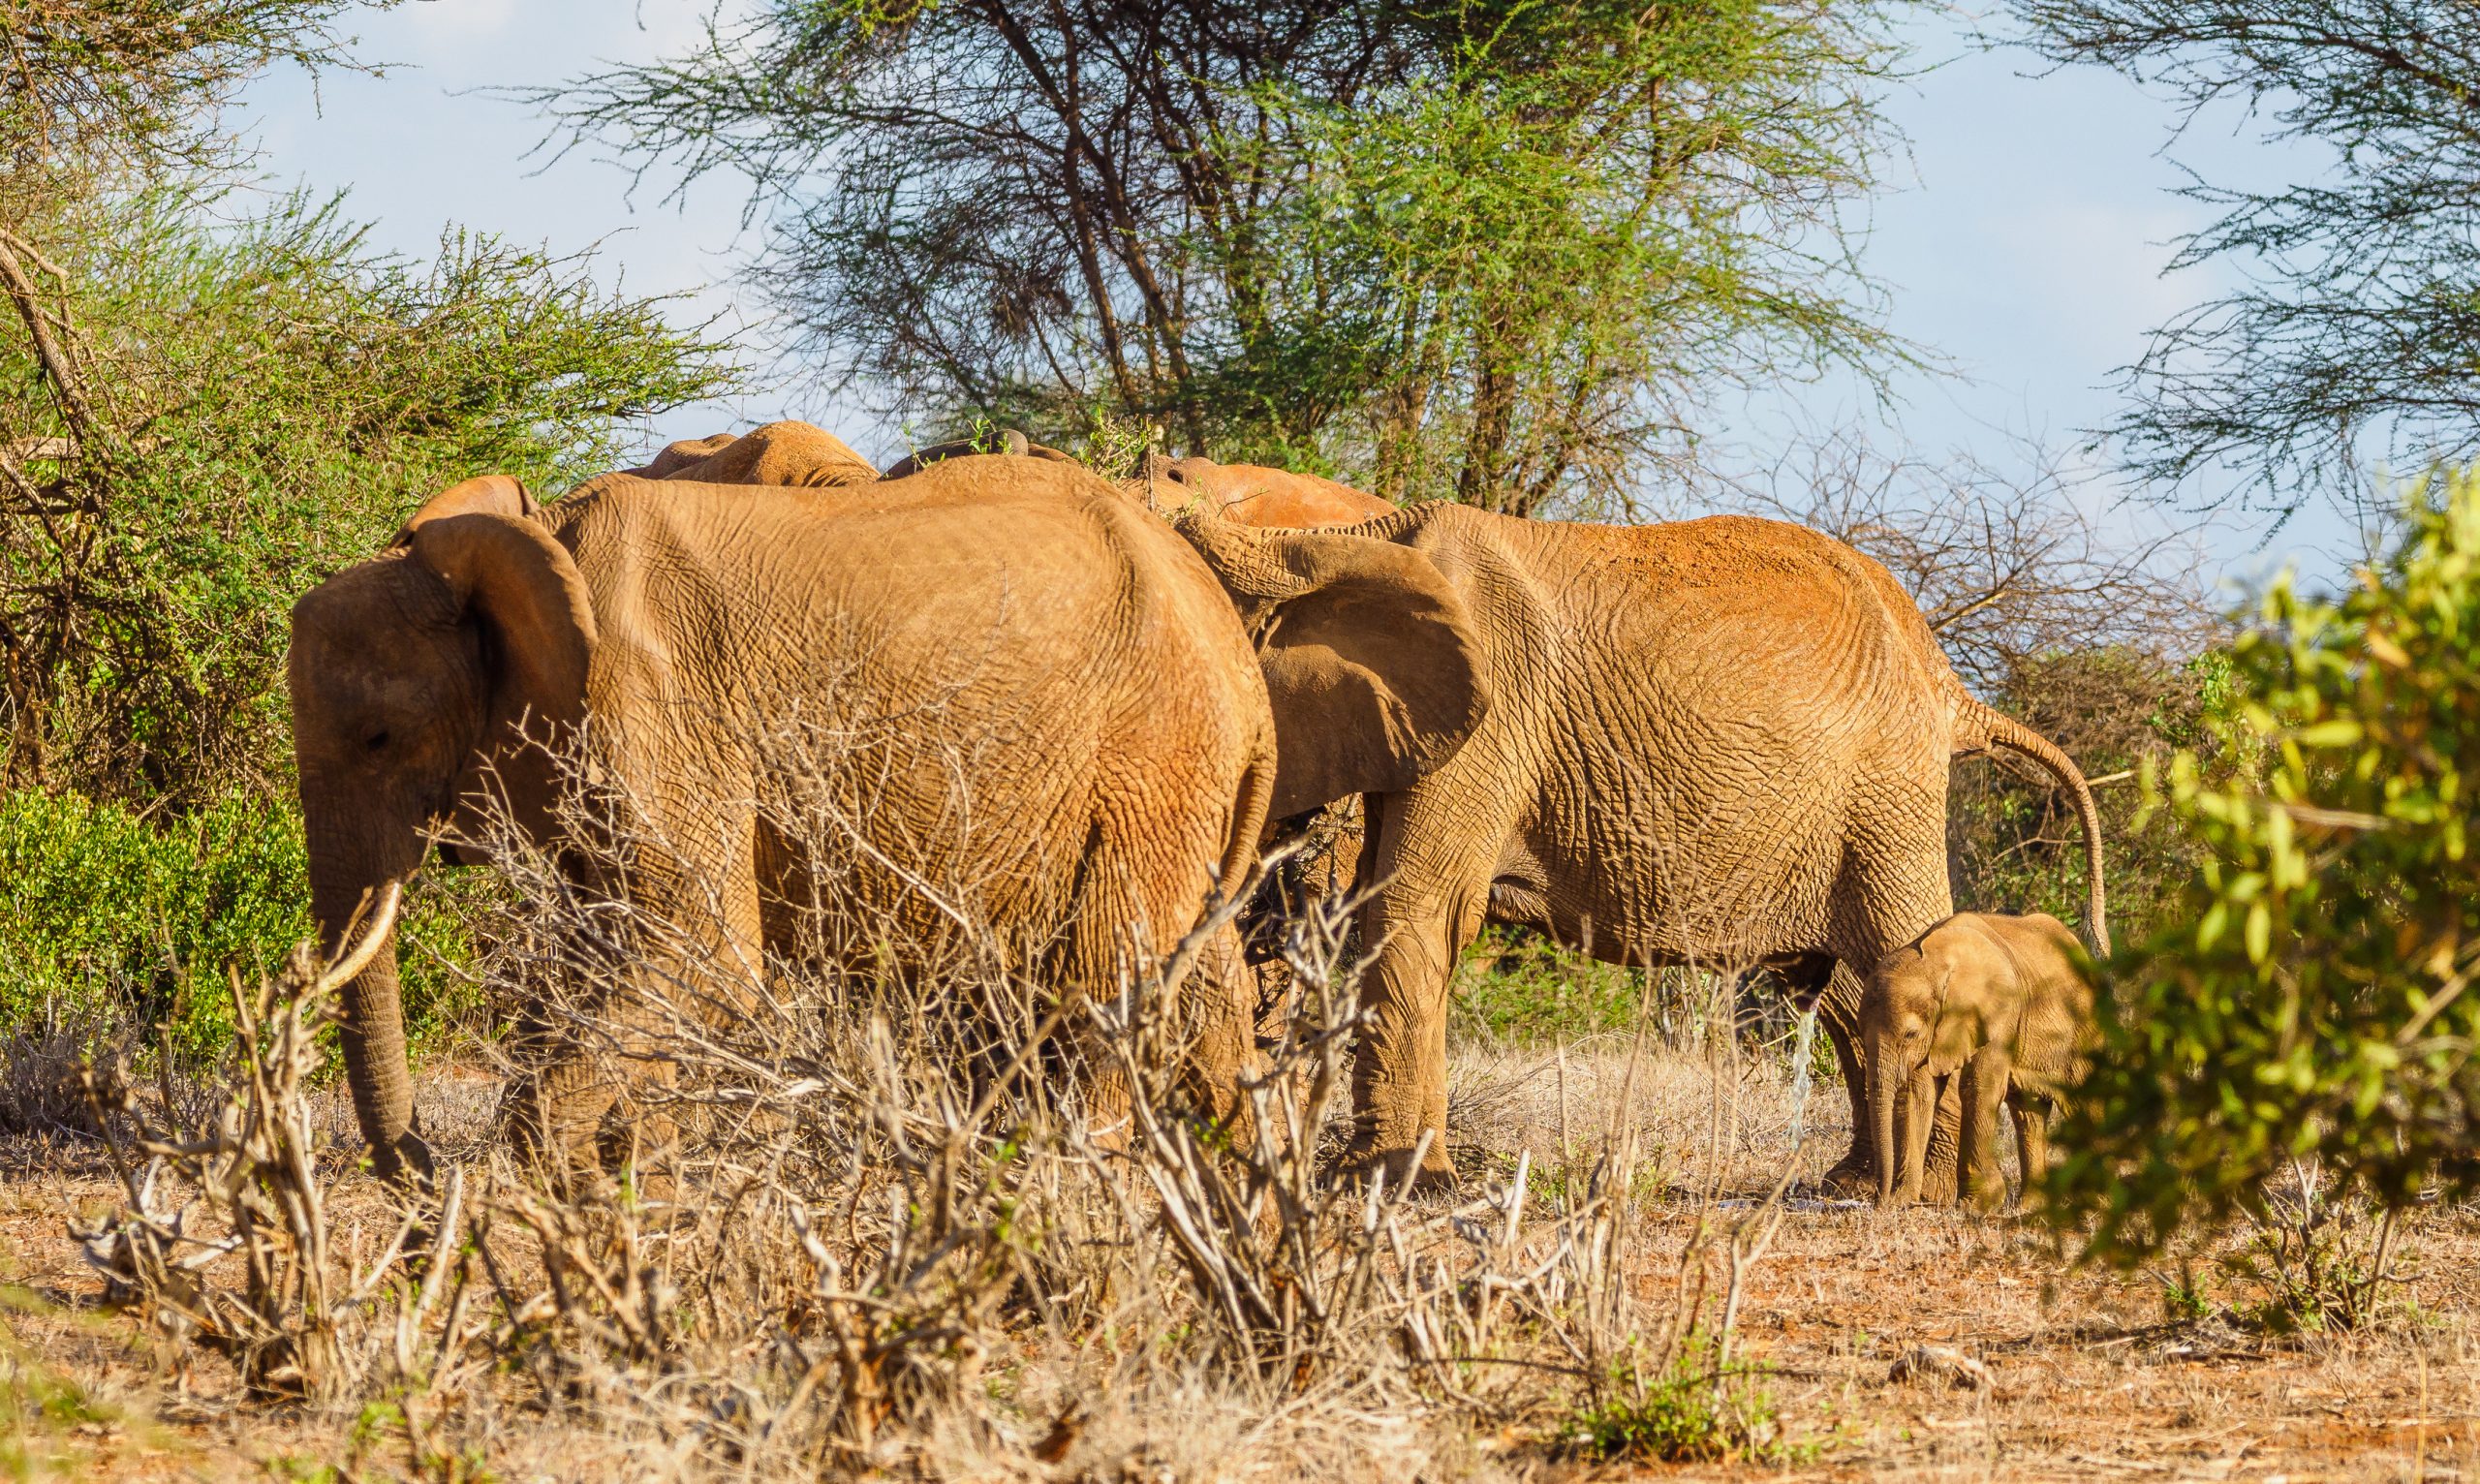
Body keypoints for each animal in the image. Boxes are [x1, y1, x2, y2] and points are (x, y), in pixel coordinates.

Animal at [290, 453, 1488, 1186]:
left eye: (381, 737)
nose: (416, 1166)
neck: (532, 543)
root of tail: (1237, 661)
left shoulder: (656, 703)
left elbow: (699, 952)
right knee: (1185, 988)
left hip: (1152, 755)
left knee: (1104, 983)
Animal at [1865, 912, 2092, 1216]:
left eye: (1910, 1034)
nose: (1879, 1203)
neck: (1937, 961)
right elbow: (1918, 1093)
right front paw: (1902, 1200)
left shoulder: (1999, 1010)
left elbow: (1978, 1086)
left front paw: (1976, 1206)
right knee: (2029, 1113)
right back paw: (2028, 1207)